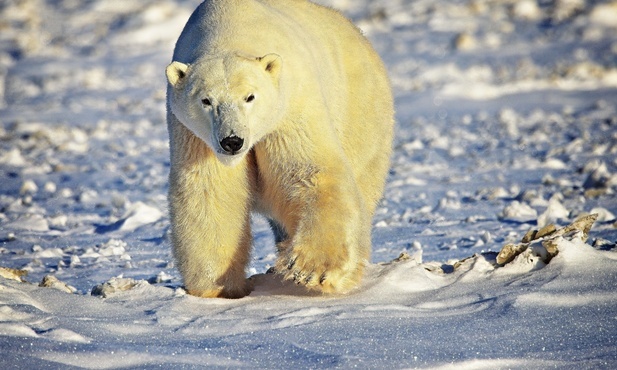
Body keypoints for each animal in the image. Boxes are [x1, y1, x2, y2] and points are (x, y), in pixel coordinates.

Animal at [166, 0, 392, 298]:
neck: (230, 29)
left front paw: (312, 269)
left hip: (360, 112)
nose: (232, 141)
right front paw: (218, 287)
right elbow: (210, 191)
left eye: (249, 97)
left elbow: (308, 170)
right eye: (206, 100)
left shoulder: (290, 107)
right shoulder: (193, 135)